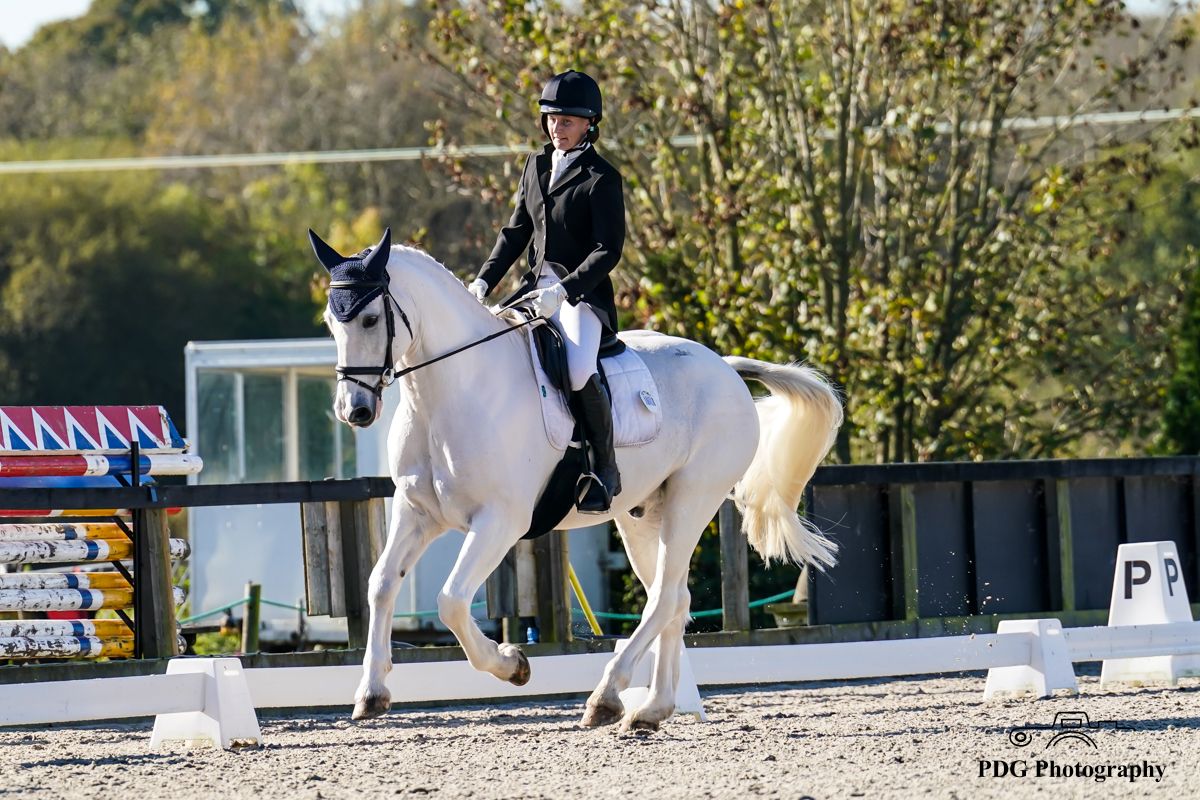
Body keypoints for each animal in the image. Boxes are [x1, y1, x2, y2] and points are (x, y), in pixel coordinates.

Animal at [312, 226, 844, 734]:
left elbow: (452, 602)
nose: (354, 411)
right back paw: (652, 709)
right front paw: (372, 693)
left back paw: (607, 698)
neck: (451, 393)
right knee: (674, 597)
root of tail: (725, 368)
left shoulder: (500, 522)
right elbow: (381, 584)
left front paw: (512, 665)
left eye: (370, 320)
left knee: (665, 597)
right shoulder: (417, 512)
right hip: (643, 514)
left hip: (694, 498)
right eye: (331, 322)